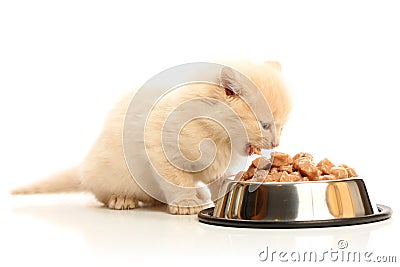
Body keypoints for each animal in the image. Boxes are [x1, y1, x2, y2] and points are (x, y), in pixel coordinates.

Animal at [10, 60, 292, 216]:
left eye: (282, 126)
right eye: (265, 125)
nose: (276, 143)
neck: (217, 134)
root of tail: (84, 167)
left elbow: (218, 180)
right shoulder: (160, 145)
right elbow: (177, 179)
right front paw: (186, 204)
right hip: (109, 171)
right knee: (101, 193)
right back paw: (121, 199)